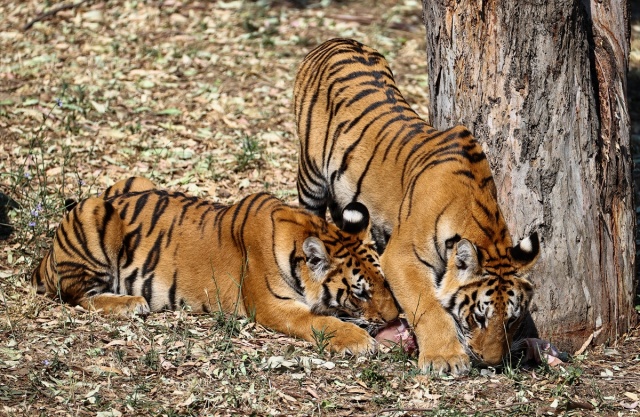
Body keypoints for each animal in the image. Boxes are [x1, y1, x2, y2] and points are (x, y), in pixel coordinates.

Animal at [32, 176, 400, 354]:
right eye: (360, 293)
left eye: (385, 282)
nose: (395, 318)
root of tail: (45, 259)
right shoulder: (272, 307)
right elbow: (321, 321)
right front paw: (359, 341)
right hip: (92, 212)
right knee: (76, 296)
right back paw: (131, 303)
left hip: (134, 182)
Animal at [294, 39, 540, 374]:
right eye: (479, 317)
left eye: (512, 320)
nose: (493, 363)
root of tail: (336, 41)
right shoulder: (402, 257)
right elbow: (429, 306)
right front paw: (445, 357)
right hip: (311, 176)